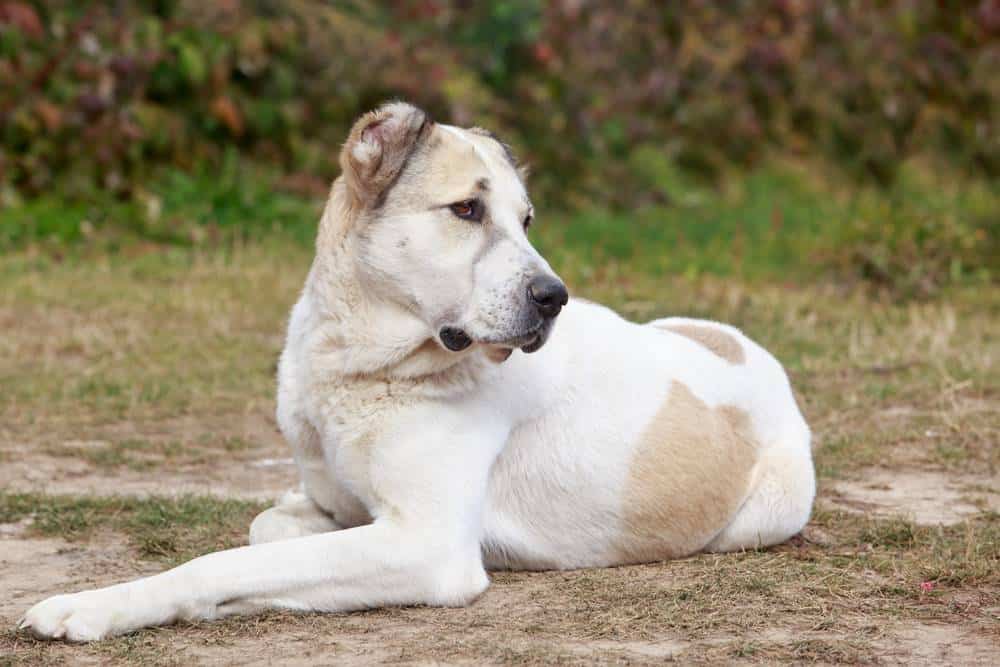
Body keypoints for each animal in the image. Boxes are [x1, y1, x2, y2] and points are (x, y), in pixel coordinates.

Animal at [19, 103, 812, 640]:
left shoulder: (425, 545)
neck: (359, 367)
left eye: (526, 221)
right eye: (466, 210)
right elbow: (265, 527)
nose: (553, 297)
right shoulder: (333, 504)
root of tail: (756, 355)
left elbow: (222, 563)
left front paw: (91, 605)